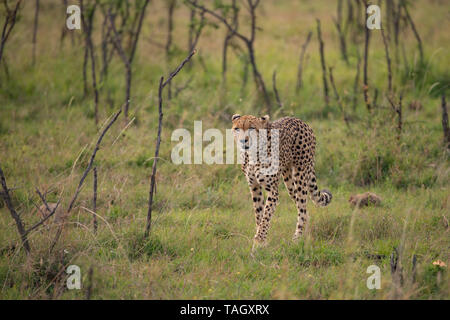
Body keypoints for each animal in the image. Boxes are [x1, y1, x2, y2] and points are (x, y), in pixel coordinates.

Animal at [232, 114, 330, 249]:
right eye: (237, 129)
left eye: (251, 128)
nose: (243, 141)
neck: (252, 154)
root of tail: (300, 121)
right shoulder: (254, 187)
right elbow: (259, 214)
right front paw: (261, 240)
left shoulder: (272, 191)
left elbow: (266, 215)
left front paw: (259, 240)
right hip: (289, 181)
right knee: (303, 208)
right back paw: (305, 233)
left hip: (300, 175)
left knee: (302, 208)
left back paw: (297, 238)